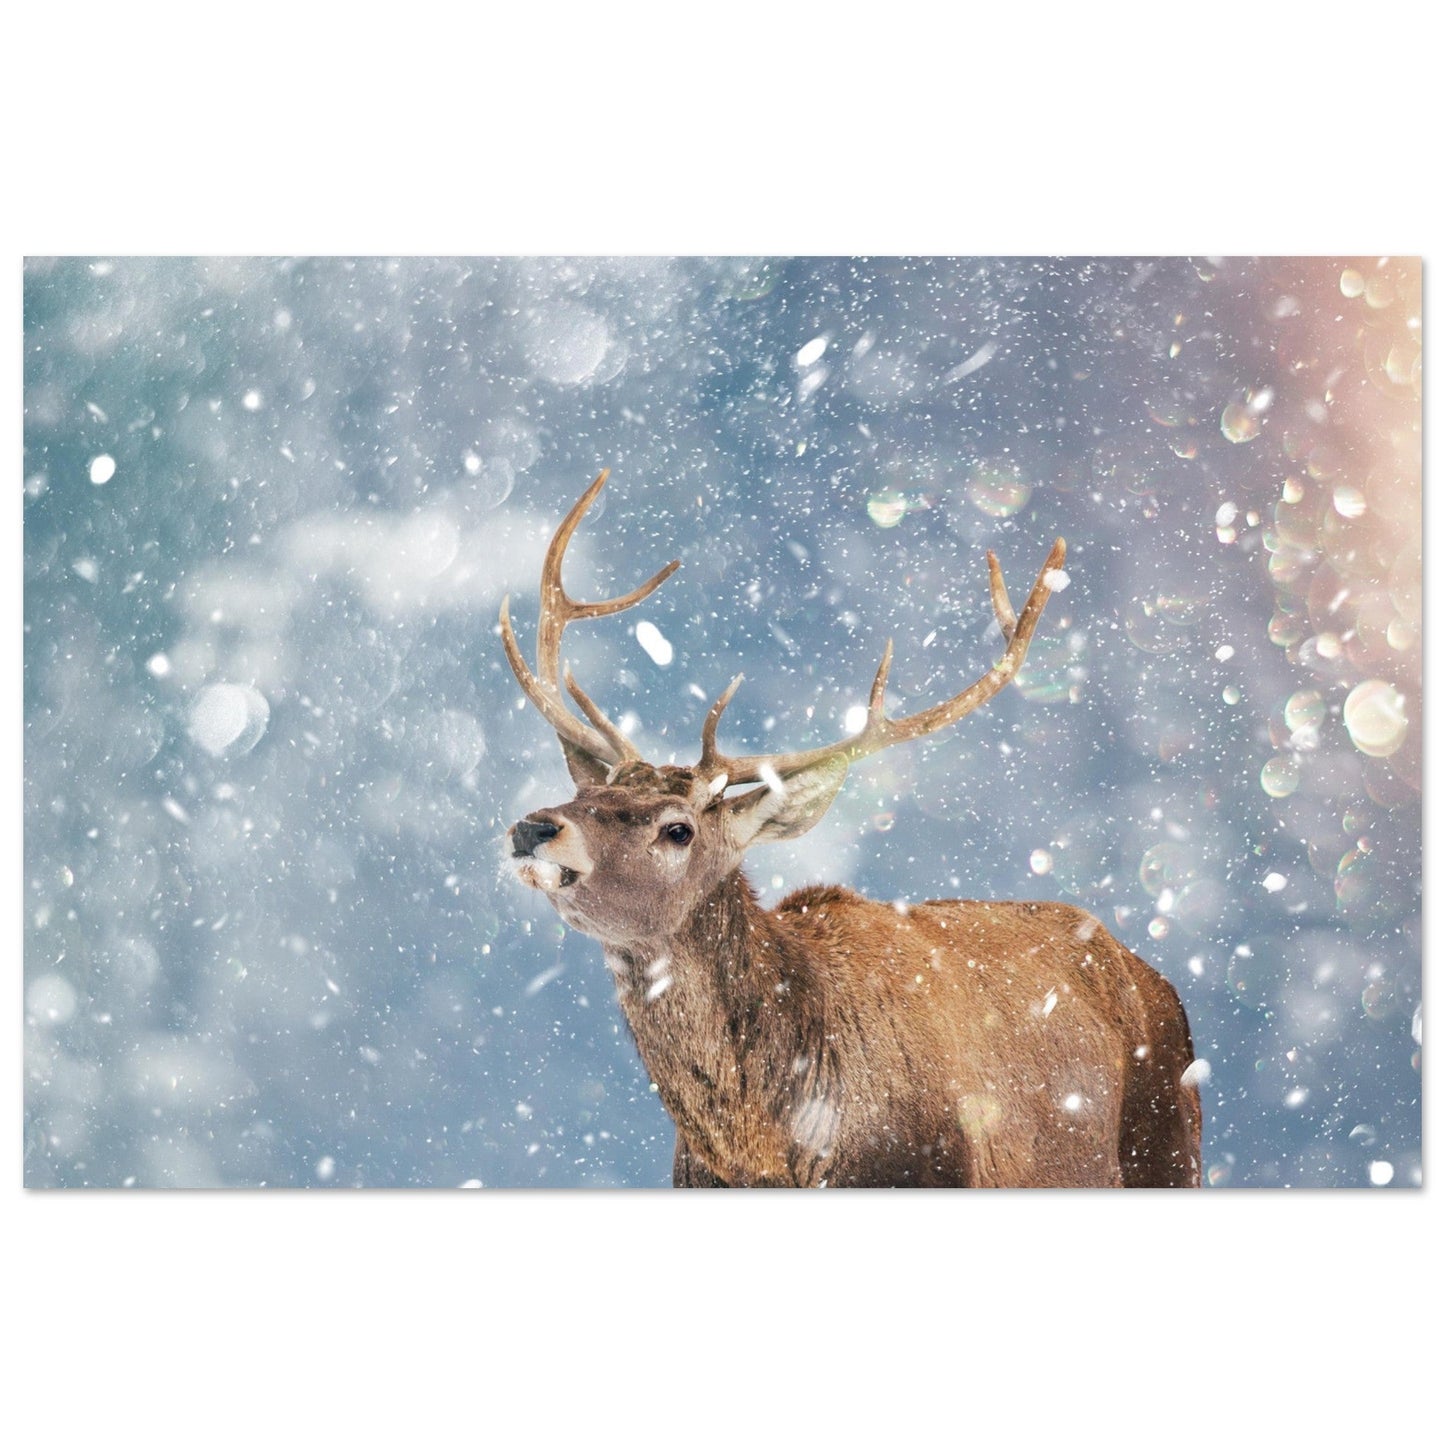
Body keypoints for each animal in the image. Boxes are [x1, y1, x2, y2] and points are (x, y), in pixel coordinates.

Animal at [502, 470, 1202, 1187]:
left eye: (678, 830)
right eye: (586, 791)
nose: (535, 827)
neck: (775, 1153)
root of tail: (1158, 981)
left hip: (1171, 1151)